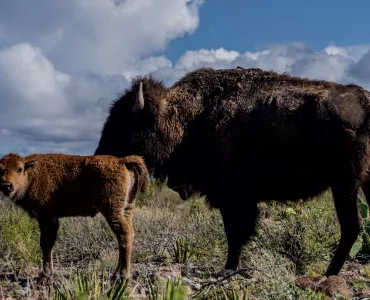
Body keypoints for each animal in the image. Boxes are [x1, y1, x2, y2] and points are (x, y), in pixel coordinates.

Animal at [0, 154, 149, 280]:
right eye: (0, 170)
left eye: (19, 169)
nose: (6, 185)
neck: (32, 173)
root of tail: (122, 161)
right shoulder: (51, 219)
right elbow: (49, 243)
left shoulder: (46, 217)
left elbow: (46, 244)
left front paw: (45, 274)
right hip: (126, 208)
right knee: (126, 235)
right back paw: (118, 273)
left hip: (112, 210)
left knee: (124, 233)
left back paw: (122, 275)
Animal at [94, 66, 370, 276]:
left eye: (126, 123)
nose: (100, 154)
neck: (187, 116)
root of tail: (365, 101)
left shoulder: (233, 198)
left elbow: (234, 233)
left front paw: (228, 268)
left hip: (345, 183)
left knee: (351, 225)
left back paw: (329, 273)